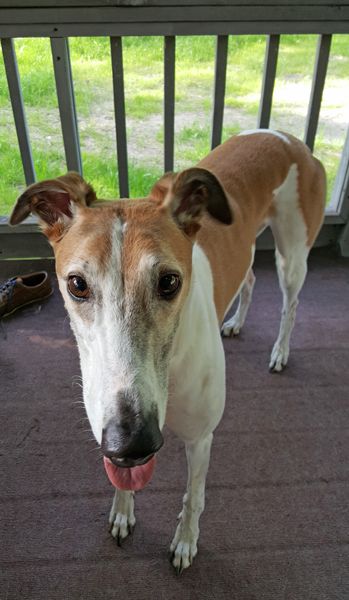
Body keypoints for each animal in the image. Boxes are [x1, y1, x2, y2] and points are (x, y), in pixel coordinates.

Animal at [11, 129, 326, 568]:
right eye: (77, 284)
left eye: (169, 282)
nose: (132, 443)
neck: (171, 370)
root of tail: (289, 138)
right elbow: (122, 481)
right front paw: (122, 513)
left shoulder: (201, 437)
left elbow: (194, 497)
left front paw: (185, 542)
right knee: (248, 278)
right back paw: (237, 322)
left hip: (293, 255)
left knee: (291, 303)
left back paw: (280, 351)